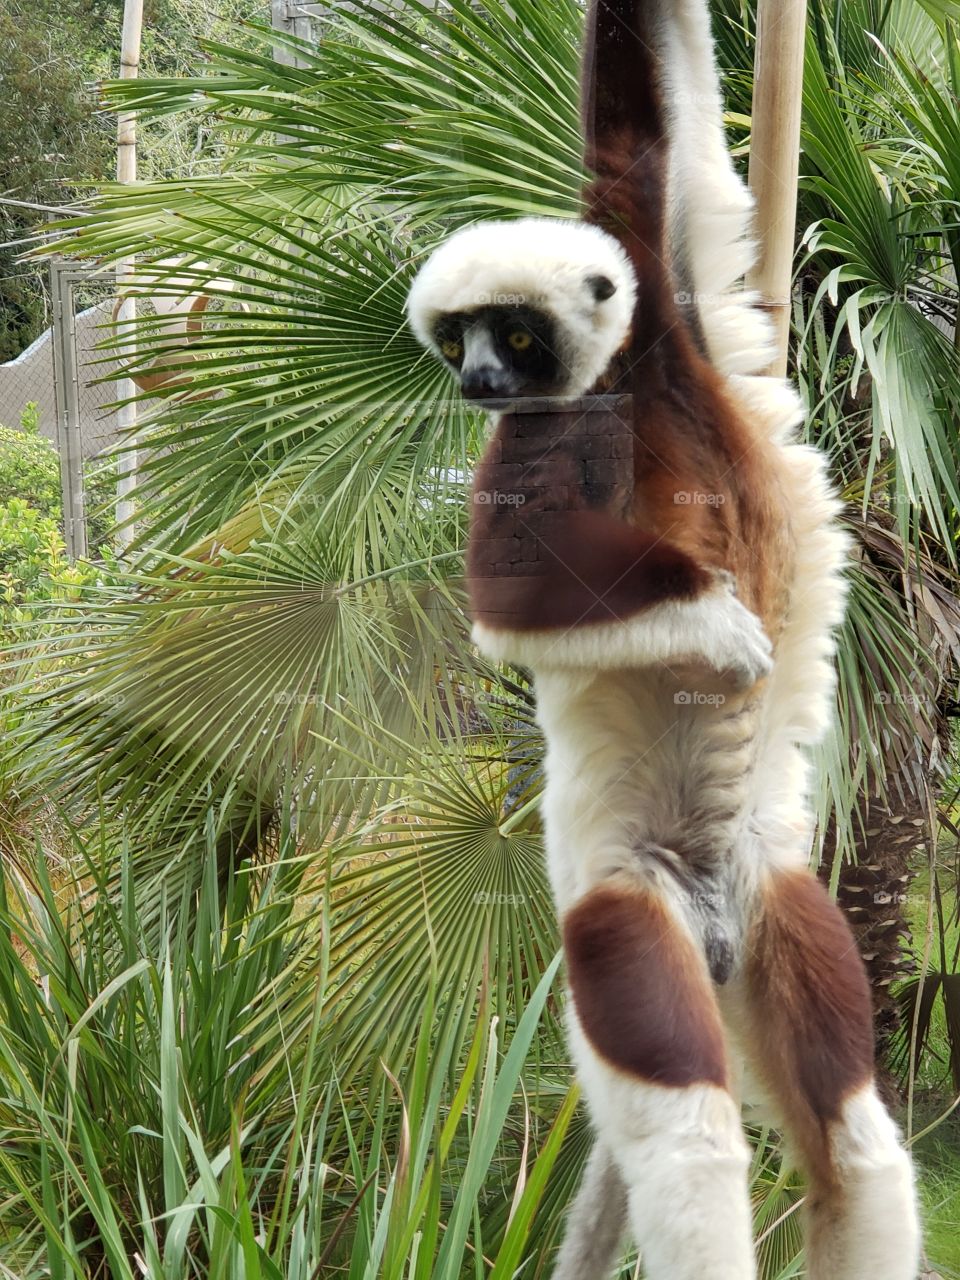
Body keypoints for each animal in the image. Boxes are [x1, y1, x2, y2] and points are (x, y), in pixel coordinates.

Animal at [406, 1, 921, 1277]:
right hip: (622, 907)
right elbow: (511, 588)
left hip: (779, 892)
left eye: (512, 333)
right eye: (460, 340)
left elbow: (647, 135)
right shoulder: (552, 430)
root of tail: (710, 919)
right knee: (689, 1130)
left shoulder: (668, 299)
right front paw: (721, 627)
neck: (629, 386)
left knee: (853, 1135)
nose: (478, 381)